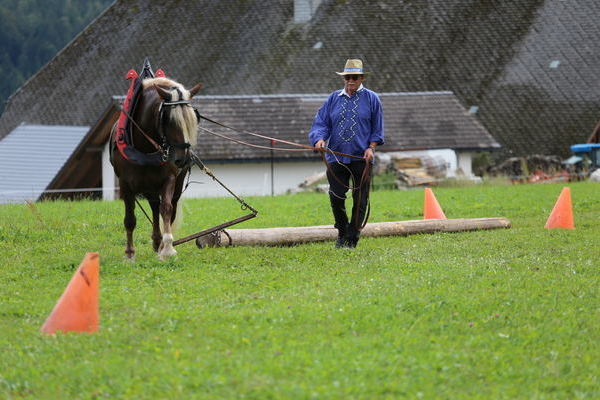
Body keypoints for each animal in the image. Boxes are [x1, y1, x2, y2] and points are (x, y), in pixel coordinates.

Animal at [109, 76, 200, 260]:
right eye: (170, 120)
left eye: (191, 119)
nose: (184, 159)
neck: (145, 148)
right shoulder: (125, 184)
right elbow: (130, 218)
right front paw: (130, 253)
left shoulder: (169, 179)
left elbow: (167, 209)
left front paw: (168, 249)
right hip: (149, 188)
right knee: (154, 207)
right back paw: (156, 242)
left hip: (171, 185)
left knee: (165, 209)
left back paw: (160, 244)